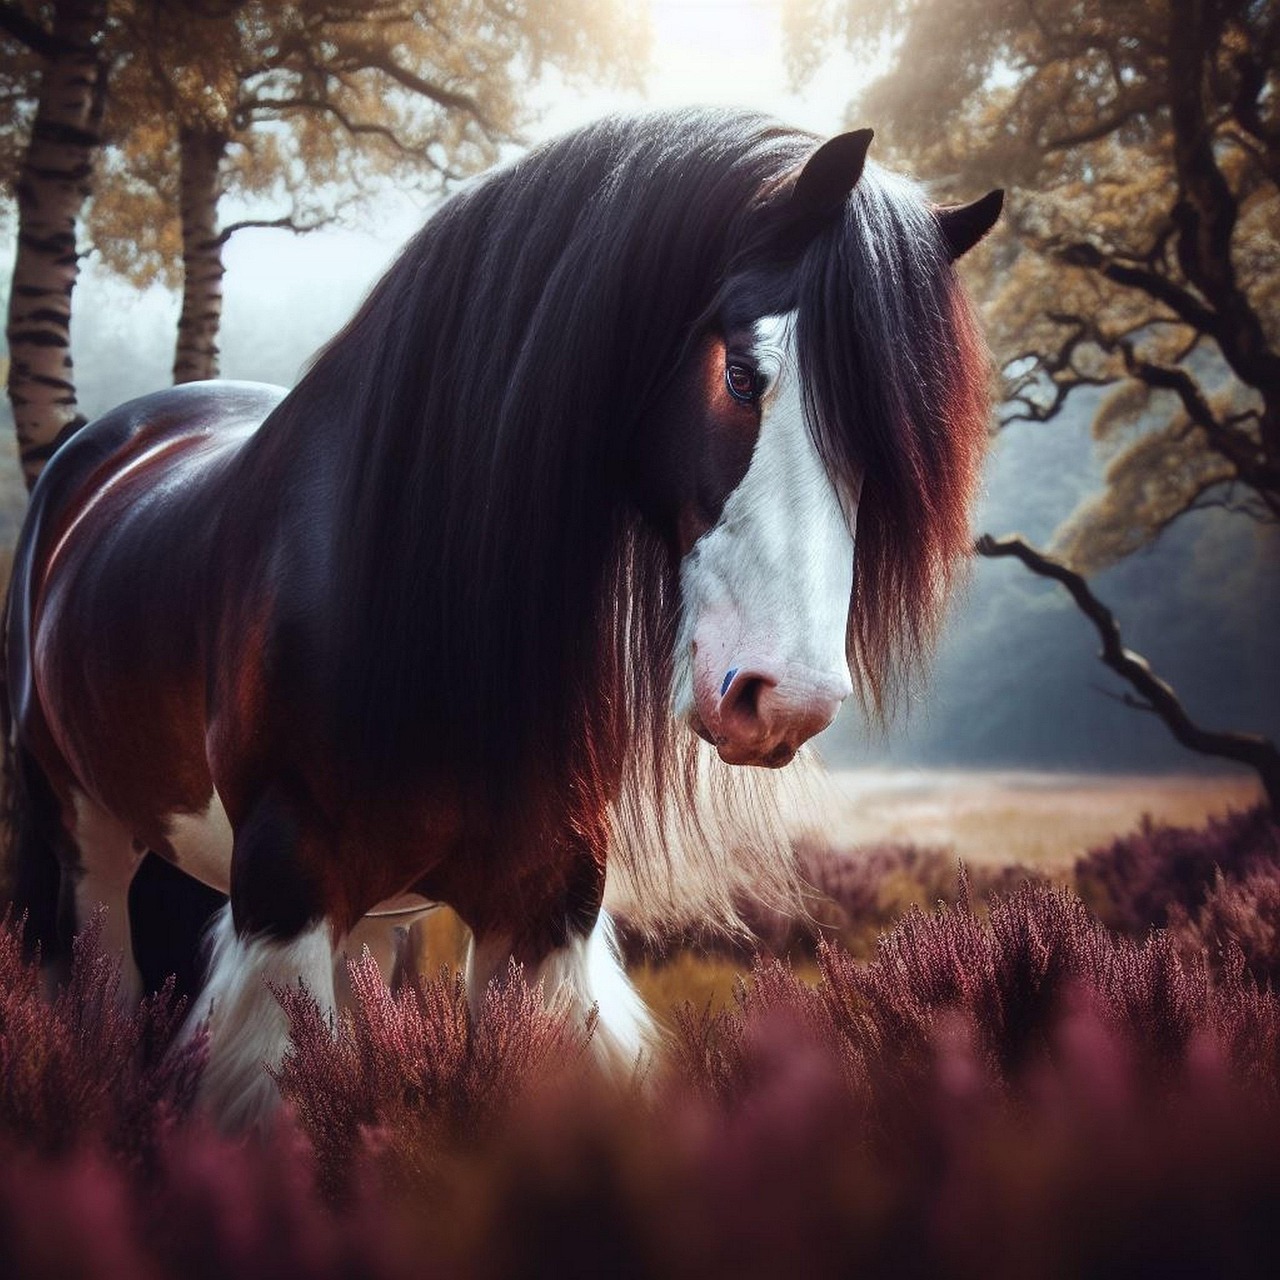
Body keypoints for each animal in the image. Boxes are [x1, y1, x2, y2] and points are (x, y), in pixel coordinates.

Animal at [3, 108, 1000, 1130]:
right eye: (744, 375)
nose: (785, 701)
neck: (410, 580)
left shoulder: (543, 910)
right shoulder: (284, 897)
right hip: (77, 844)